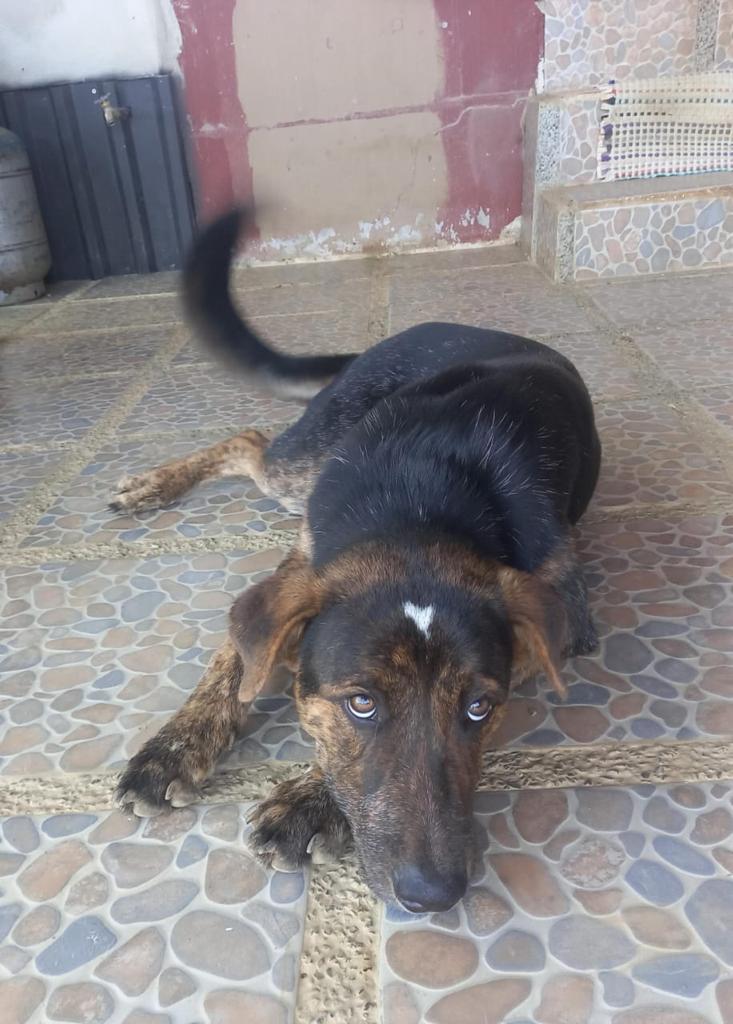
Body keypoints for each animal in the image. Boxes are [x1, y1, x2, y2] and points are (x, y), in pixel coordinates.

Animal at [116, 207, 601, 913]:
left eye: (479, 709)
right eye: (362, 705)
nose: (434, 895)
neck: (422, 503)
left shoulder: (559, 620)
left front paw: (311, 800)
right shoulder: (301, 563)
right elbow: (234, 663)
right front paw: (174, 748)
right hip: (305, 458)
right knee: (249, 440)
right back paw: (154, 484)